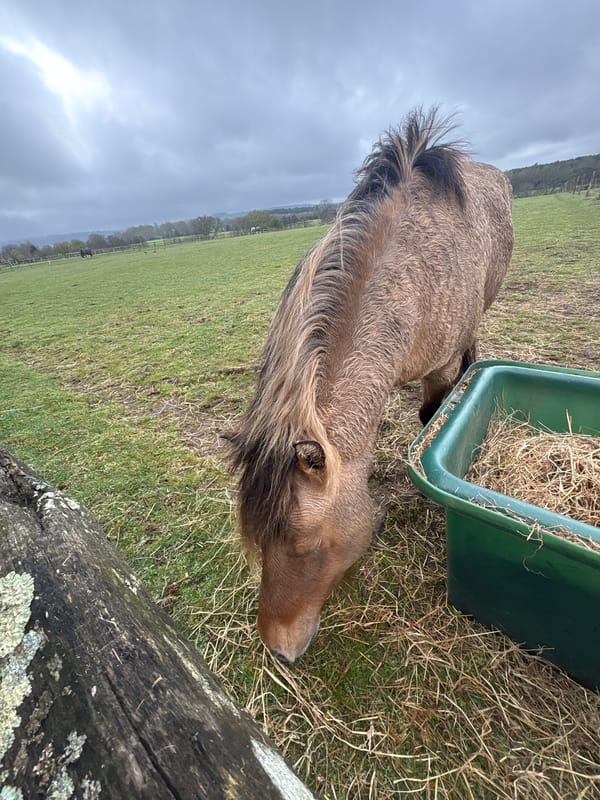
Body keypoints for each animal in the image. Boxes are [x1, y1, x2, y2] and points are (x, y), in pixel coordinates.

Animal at [226, 108, 513, 663]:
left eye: (307, 545)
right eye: (257, 540)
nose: (277, 648)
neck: (412, 275)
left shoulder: (440, 368)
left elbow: (430, 420)